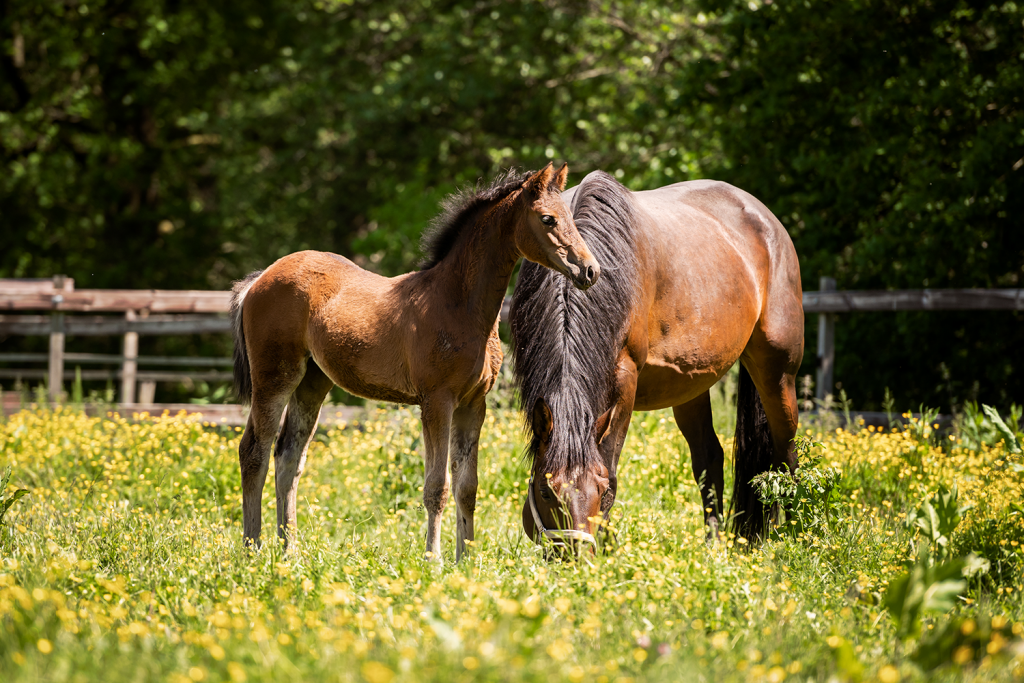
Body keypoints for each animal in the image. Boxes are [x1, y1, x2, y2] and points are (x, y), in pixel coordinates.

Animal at [230, 163, 598, 561]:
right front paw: (433, 559)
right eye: (548, 219)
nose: (589, 271)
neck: (458, 304)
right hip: (275, 377)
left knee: (288, 457)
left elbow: (467, 487)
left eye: (569, 218)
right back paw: (252, 549)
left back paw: (290, 551)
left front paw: (466, 559)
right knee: (254, 452)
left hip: (312, 382)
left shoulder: (473, 404)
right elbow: (436, 485)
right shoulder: (436, 401)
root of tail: (258, 280)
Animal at [507, 172, 802, 548]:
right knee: (710, 458)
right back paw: (713, 546)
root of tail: (765, 218)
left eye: (599, 489)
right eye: (546, 492)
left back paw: (798, 534)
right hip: (691, 386)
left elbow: (611, 467)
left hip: (777, 372)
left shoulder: (625, 380)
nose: (577, 555)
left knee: (787, 454)